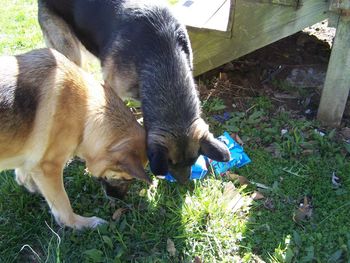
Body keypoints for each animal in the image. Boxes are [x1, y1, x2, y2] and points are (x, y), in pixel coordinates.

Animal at [0, 48, 149, 230]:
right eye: (126, 178)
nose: (120, 200)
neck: (85, 112)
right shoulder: (49, 167)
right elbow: (63, 206)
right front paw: (81, 223)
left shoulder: (33, 163)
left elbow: (24, 174)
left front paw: (31, 185)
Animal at [38, 0, 231, 184]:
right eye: (170, 163)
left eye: (193, 160)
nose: (184, 183)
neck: (162, 54)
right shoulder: (112, 88)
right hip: (69, 51)